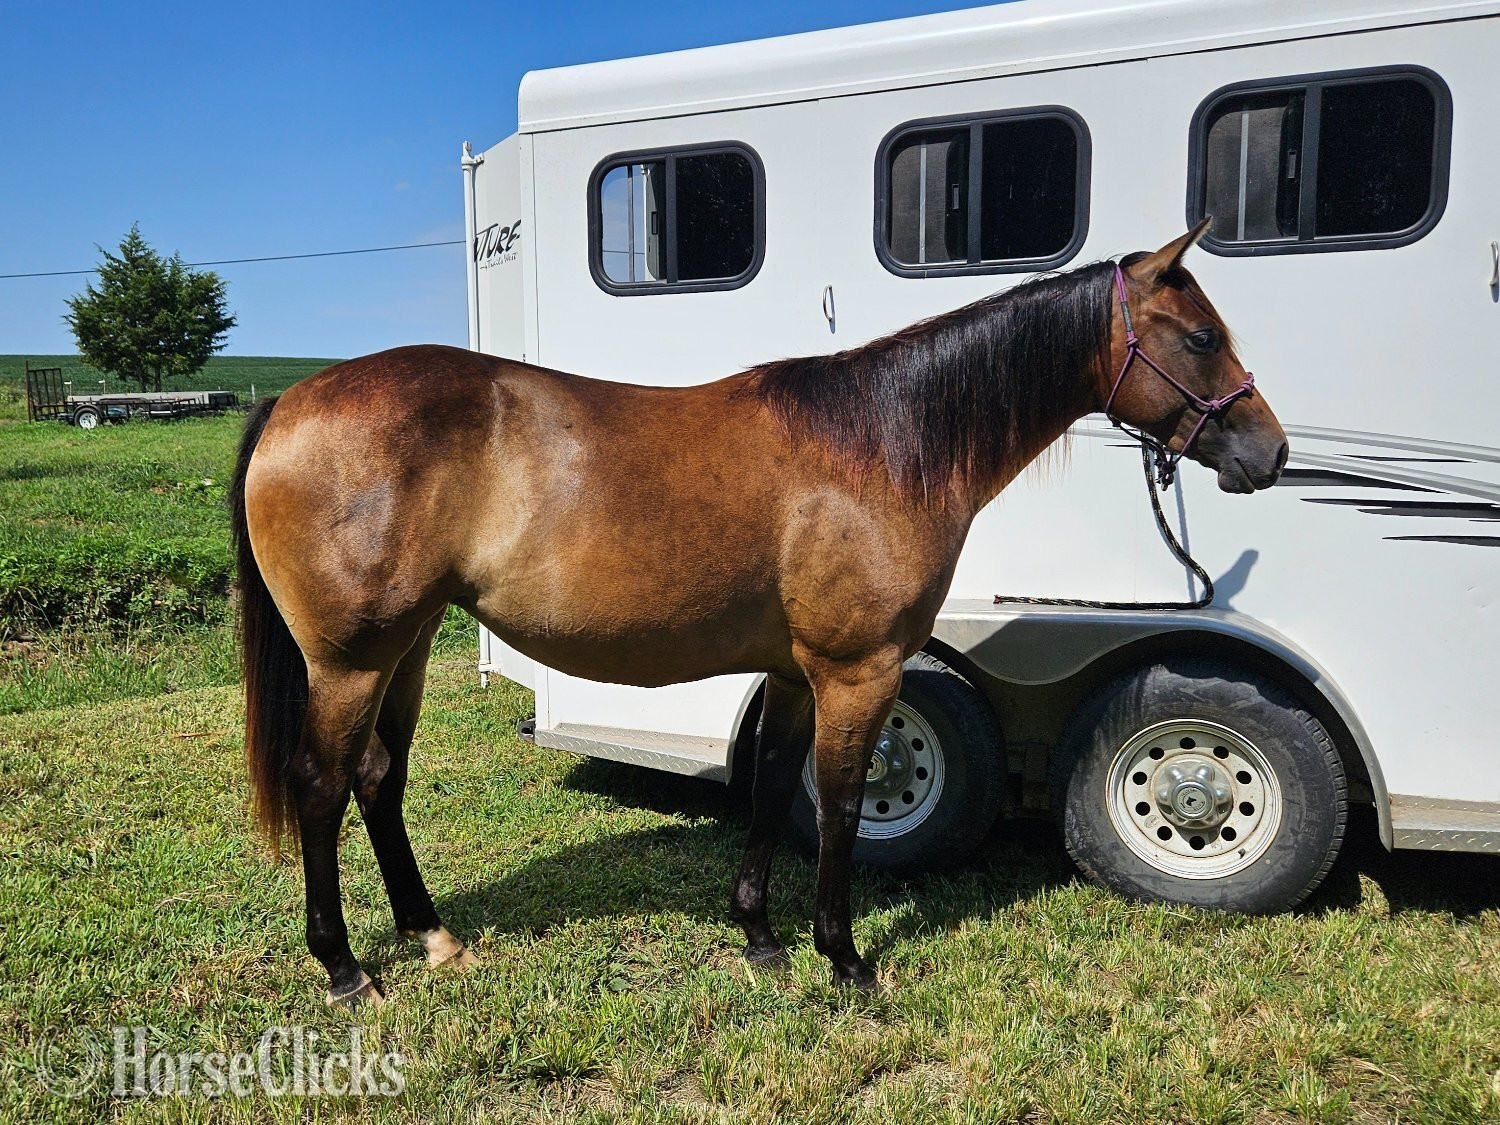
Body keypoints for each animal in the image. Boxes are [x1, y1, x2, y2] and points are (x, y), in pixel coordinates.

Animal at [230, 222, 1287, 1006]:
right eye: (1201, 337)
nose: (1268, 452)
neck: (883, 443)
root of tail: (290, 401)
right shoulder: (860, 670)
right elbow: (843, 802)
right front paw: (846, 960)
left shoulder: (792, 670)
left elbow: (777, 787)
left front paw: (761, 936)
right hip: (350, 662)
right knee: (323, 785)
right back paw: (344, 966)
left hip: (403, 649)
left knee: (378, 778)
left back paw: (432, 933)